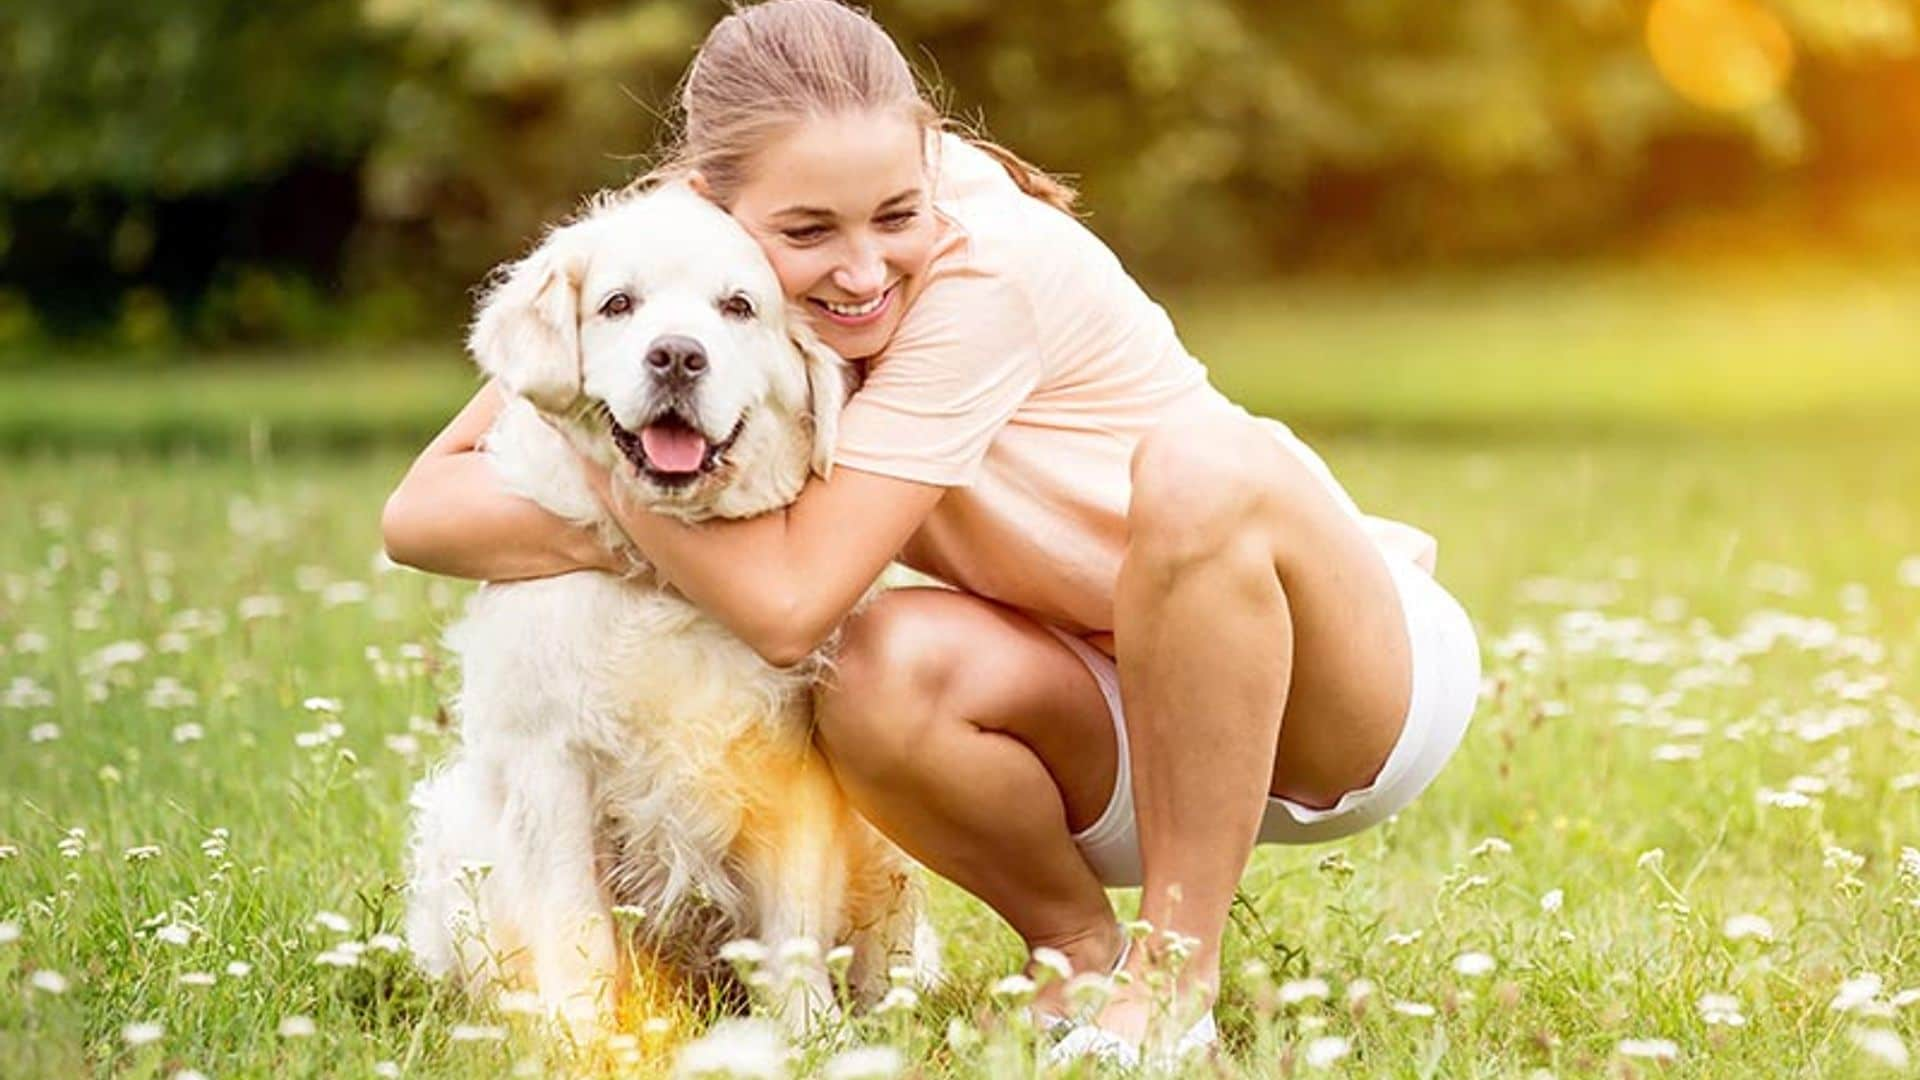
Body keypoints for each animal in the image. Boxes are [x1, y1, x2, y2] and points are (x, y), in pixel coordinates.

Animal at [408, 182, 933, 1037]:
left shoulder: (796, 768)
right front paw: (584, 1037)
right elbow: (575, 922)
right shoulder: (552, 763)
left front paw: (809, 1033)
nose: (679, 356)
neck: (678, 576)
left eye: (739, 306)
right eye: (618, 303)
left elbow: (793, 925)